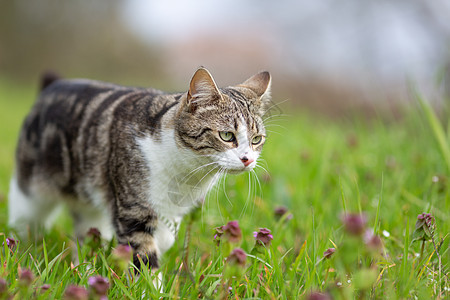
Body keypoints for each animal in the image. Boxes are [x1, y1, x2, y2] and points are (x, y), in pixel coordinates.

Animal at [8, 67, 272, 274]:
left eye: (256, 139)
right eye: (227, 135)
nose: (248, 160)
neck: (186, 175)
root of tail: (54, 85)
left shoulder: (171, 211)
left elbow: (164, 238)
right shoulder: (133, 210)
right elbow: (145, 256)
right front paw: (152, 289)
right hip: (30, 194)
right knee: (24, 219)